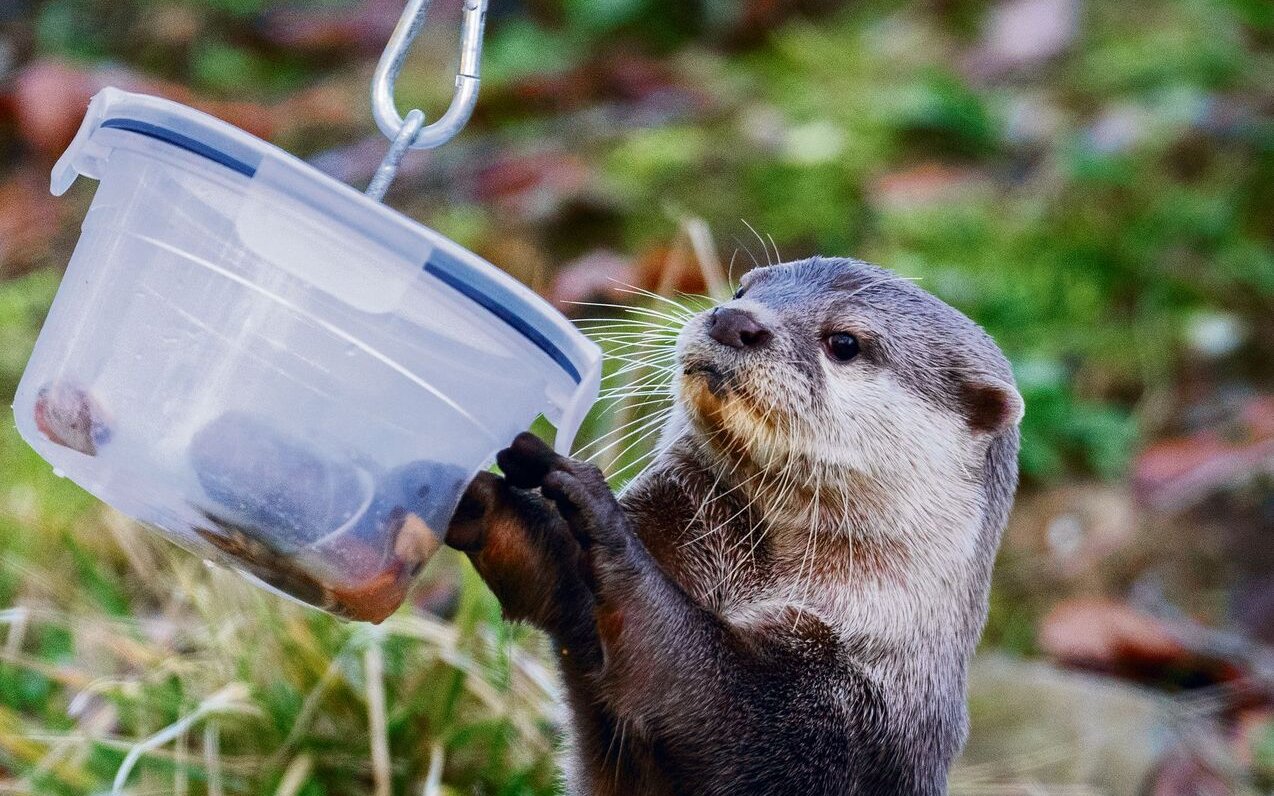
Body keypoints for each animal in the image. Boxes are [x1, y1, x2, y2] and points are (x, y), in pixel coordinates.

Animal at [448, 257, 1024, 789]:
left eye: (844, 342)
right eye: (742, 290)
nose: (734, 320)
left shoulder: (834, 725)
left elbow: (700, 684)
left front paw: (602, 520)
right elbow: (552, 583)